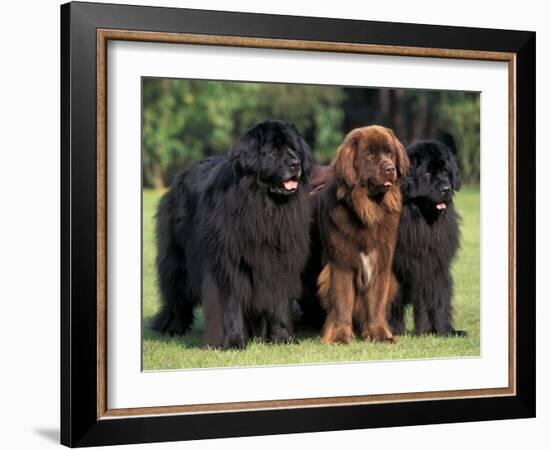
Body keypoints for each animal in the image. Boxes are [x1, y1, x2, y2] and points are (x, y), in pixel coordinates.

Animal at [151, 119, 314, 348]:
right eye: (274, 150)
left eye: (294, 150)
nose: (295, 164)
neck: (265, 206)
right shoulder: (227, 264)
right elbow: (231, 304)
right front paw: (233, 341)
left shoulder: (281, 261)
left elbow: (279, 303)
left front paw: (282, 338)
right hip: (177, 260)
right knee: (175, 293)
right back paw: (172, 327)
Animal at [320, 125, 410, 342]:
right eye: (369, 155)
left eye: (390, 153)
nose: (390, 169)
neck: (368, 211)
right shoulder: (341, 264)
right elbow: (343, 302)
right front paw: (340, 337)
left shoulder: (381, 263)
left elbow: (376, 303)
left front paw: (381, 335)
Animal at [390, 142, 468, 336]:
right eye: (426, 172)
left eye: (445, 171)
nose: (446, 189)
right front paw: (391, 330)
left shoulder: (435, 265)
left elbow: (438, 299)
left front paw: (442, 331)